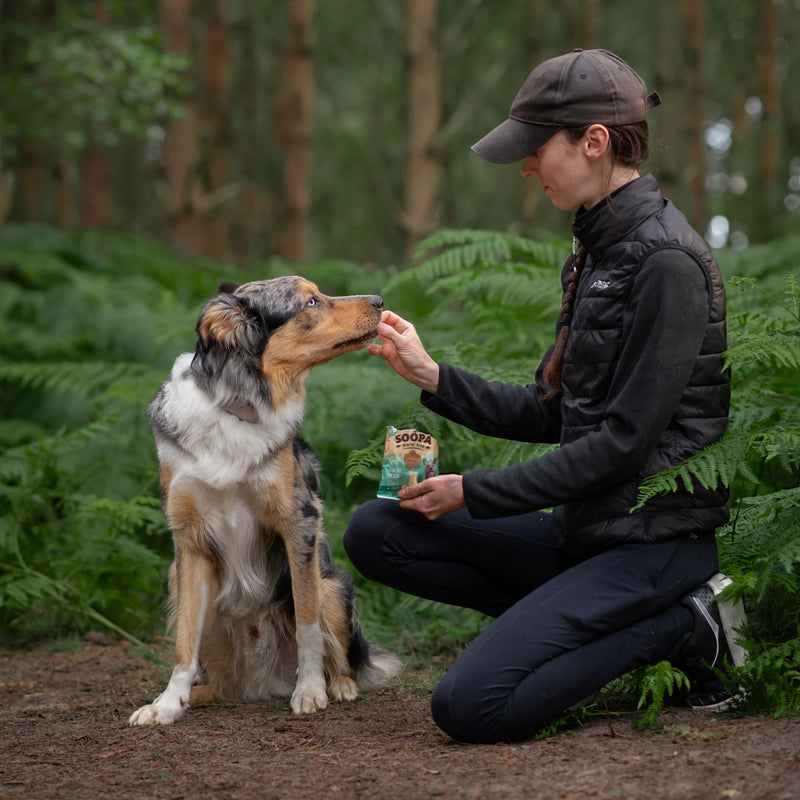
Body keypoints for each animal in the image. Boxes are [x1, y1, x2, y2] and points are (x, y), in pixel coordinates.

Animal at [133, 276, 406, 724]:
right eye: (310, 302)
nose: (380, 300)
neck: (238, 407)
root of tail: (262, 684)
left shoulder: (299, 523)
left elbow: (308, 623)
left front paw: (310, 690)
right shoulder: (189, 543)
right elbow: (184, 642)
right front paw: (167, 704)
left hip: (333, 585)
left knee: (341, 655)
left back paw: (338, 685)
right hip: (178, 583)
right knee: (217, 680)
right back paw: (201, 693)